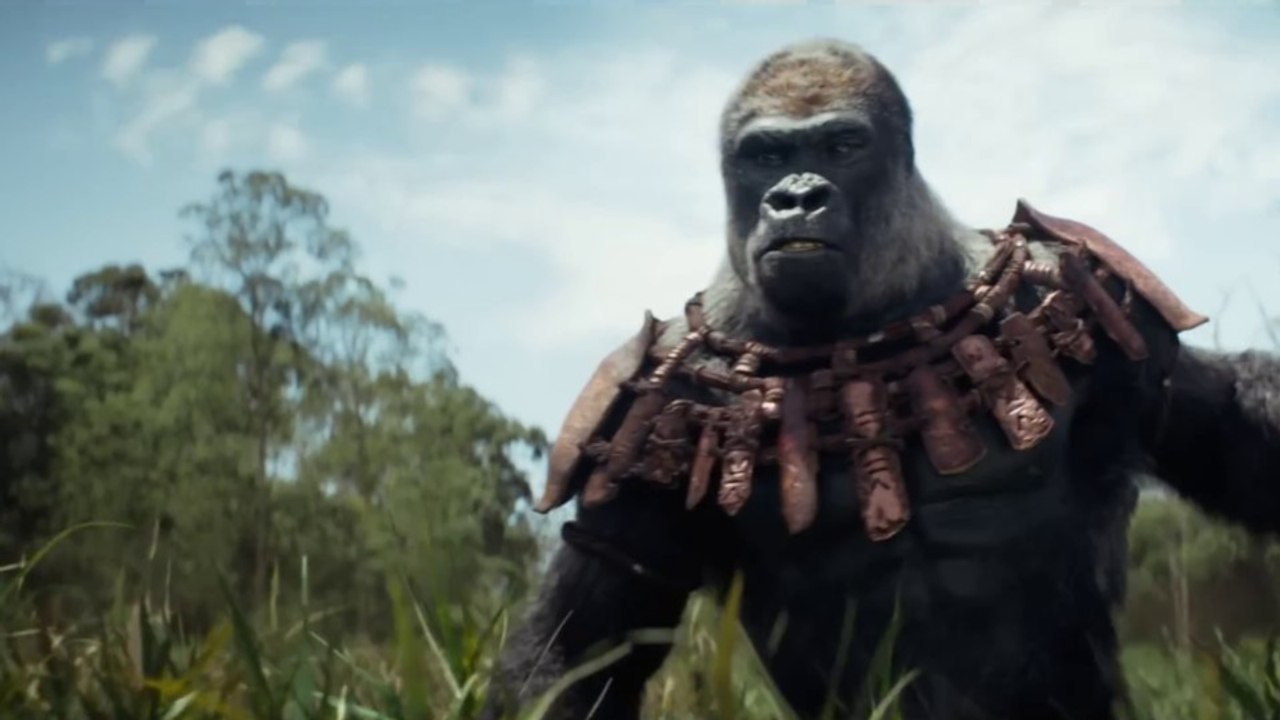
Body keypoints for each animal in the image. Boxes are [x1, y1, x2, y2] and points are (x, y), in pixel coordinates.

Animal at [480, 39, 1280, 720]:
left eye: (841, 146)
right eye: (766, 154)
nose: (796, 196)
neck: (862, 324)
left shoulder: (1109, 302)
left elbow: (1210, 422)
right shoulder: (639, 401)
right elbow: (587, 638)